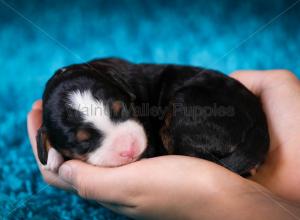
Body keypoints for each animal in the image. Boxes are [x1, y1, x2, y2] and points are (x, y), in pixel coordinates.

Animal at [35, 58, 270, 175]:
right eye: (84, 142)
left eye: (122, 109)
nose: (129, 148)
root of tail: (260, 126)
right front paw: (53, 156)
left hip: (186, 106)